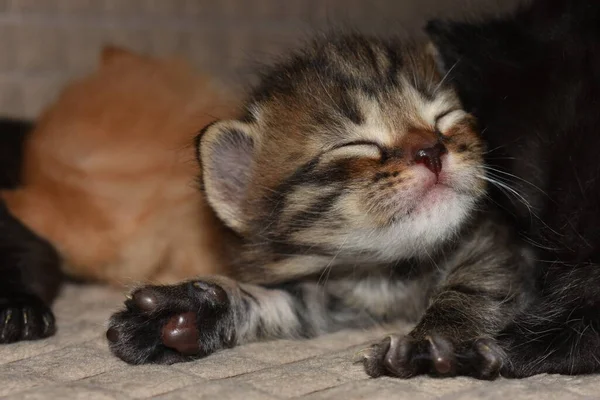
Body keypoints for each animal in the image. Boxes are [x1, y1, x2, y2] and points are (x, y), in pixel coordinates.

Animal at [105, 33, 532, 378]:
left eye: (446, 117)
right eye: (355, 144)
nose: (431, 150)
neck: (387, 274)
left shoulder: (496, 245)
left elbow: (474, 286)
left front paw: (436, 342)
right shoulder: (335, 291)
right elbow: (282, 302)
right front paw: (186, 314)